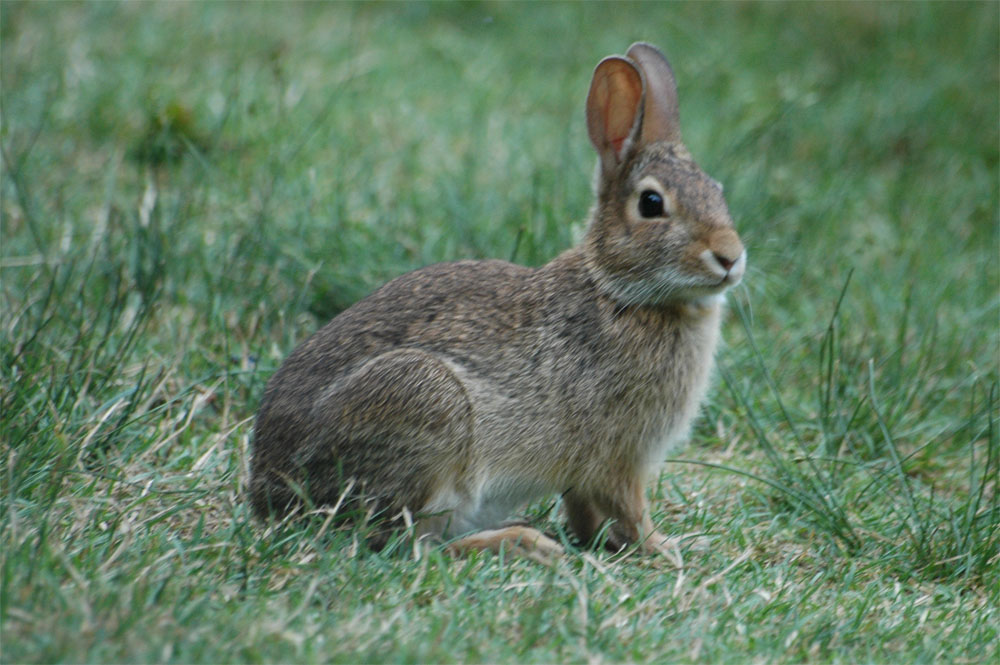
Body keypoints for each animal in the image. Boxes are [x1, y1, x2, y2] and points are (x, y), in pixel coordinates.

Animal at [254, 41, 748, 560]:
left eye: (717, 191)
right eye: (652, 204)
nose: (730, 257)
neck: (618, 291)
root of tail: (268, 492)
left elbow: (586, 510)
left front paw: (603, 542)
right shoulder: (618, 453)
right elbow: (629, 508)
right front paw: (665, 548)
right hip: (425, 405)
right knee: (405, 541)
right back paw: (524, 541)